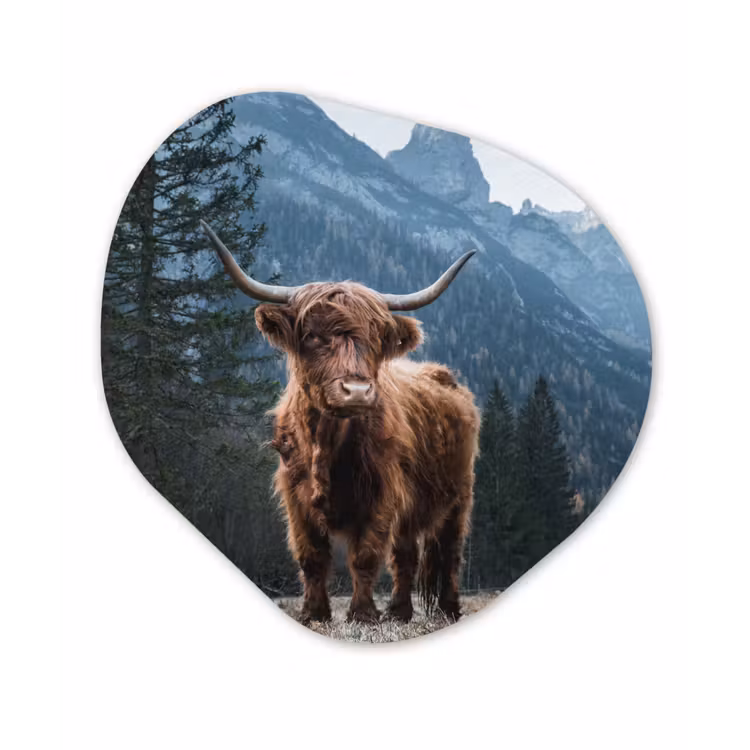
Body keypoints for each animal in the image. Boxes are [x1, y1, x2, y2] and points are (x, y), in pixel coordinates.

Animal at [201, 220, 480, 625]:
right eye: (312, 335)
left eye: (376, 339)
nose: (357, 391)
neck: (327, 443)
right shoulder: (295, 497)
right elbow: (311, 557)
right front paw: (314, 613)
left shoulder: (382, 494)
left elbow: (365, 556)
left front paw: (362, 614)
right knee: (406, 556)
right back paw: (399, 612)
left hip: (459, 495)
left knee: (450, 553)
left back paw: (448, 609)